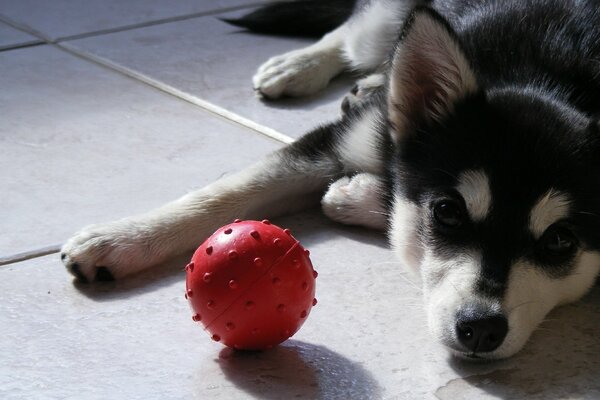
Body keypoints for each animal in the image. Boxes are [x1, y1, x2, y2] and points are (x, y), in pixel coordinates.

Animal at [61, 0, 600, 360]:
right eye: (447, 211)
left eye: (561, 241)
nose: (481, 329)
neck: (542, 79)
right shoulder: (340, 141)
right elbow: (229, 191)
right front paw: (120, 239)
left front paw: (360, 196)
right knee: (352, 33)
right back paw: (303, 66)